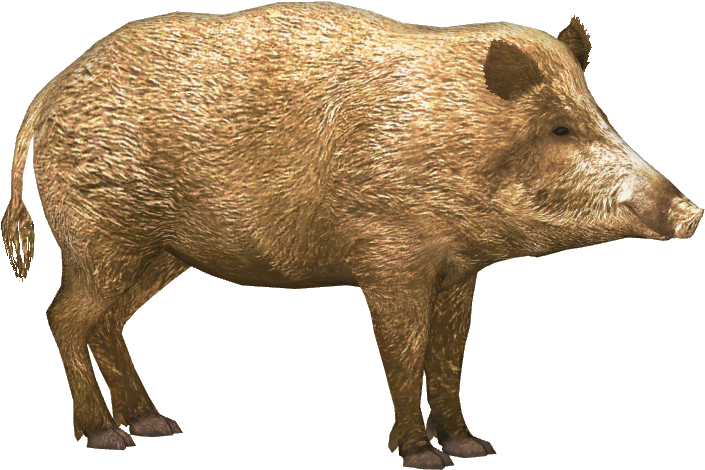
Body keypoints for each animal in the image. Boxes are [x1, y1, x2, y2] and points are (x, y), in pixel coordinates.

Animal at [2, 2, 701, 468]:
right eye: (559, 129)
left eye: (600, 116)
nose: (692, 213)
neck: (455, 145)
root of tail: (51, 91)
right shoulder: (390, 258)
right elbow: (404, 352)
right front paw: (423, 457)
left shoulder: (460, 270)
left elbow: (450, 356)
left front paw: (474, 447)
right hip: (99, 234)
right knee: (65, 316)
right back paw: (108, 436)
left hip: (161, 253)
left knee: (104, 322)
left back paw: (157, 425)